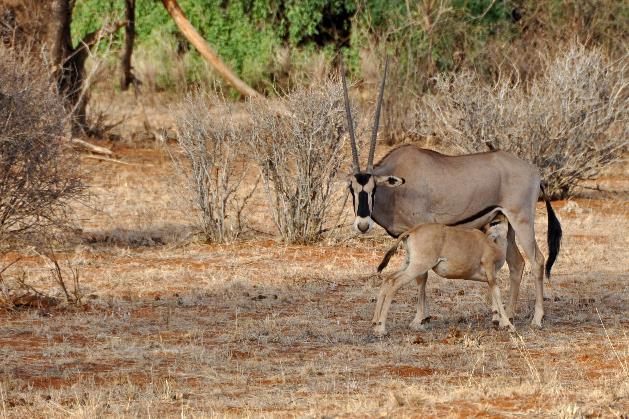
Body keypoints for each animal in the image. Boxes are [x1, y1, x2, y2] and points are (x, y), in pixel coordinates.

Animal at [372, 212, 510, 336]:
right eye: (493, 222)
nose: (487, 234)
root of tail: (412, 232)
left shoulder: (489, 278)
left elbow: (493, 293)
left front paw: (499, 321)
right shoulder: (490, 271)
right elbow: (497, 293)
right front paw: (508, 325)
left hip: (408, 264)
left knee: (387, 280)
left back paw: (375, 323)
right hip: (418, 267)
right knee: (394, 283)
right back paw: (382, 329)